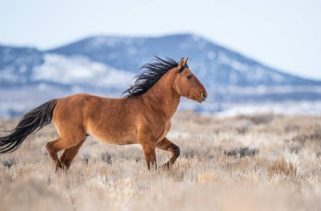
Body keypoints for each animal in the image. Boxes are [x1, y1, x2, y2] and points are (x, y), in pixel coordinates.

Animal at [0, 56, 206, 171]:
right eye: (189, 76)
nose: (205, 94)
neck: (153, 105)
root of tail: (58, 100)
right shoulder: (147, 143)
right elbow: (151, 166)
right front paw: (160, 171)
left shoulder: (159, 140)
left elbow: (176, 151)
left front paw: (165, 168)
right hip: (71, 137)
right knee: (51, 148)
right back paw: (57, 170)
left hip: (77, 141)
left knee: (66, 162)